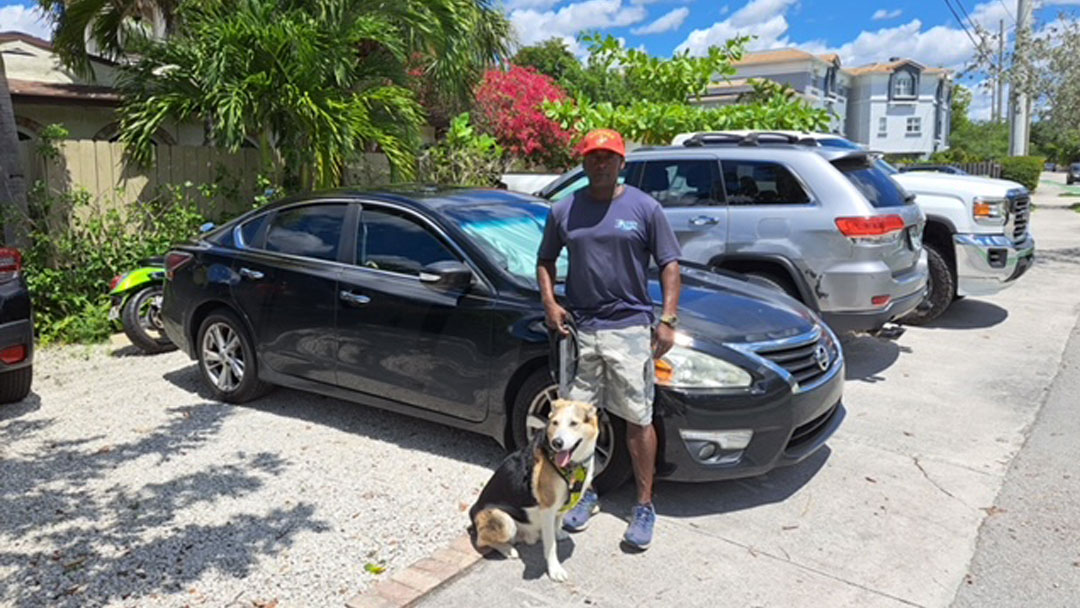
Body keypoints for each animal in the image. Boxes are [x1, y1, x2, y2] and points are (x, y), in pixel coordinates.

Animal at [466, 397, 600, 583]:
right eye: (555, 422)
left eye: (574, 423)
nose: (557, 443)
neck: (574, 466)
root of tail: (473, 512)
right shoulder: (548, 509)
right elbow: (551, 545)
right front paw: (554, 570)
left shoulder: (560, 507)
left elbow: (558, 523)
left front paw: (559, 533)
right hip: (505, 521)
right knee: (481, 541)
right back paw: (508, 550)